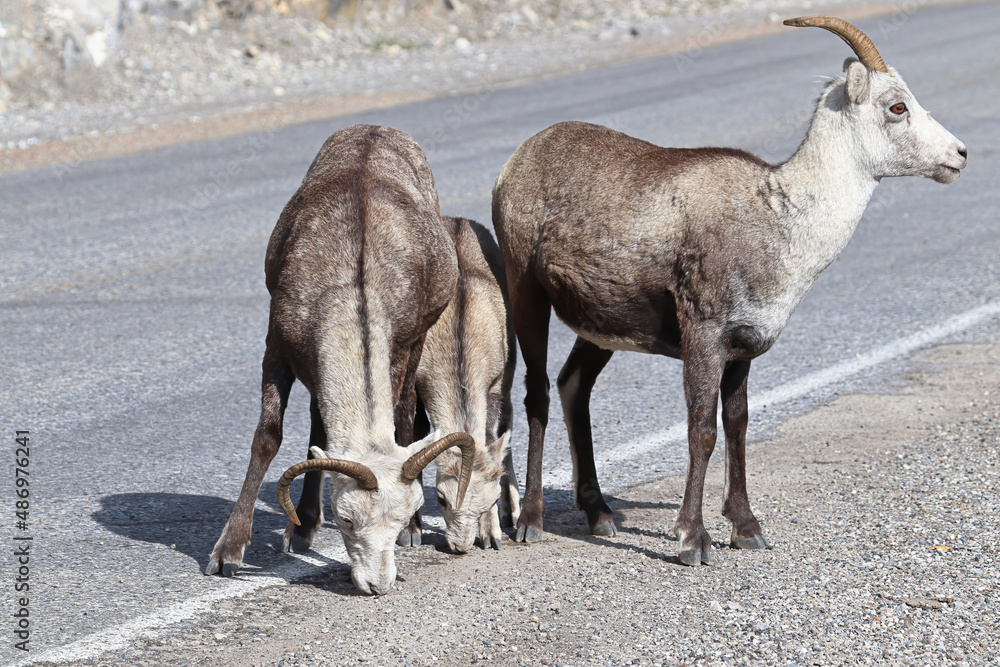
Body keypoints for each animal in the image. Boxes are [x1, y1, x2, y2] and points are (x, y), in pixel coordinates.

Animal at [205, 124, 476, 594]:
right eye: (347, 521)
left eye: (402, 515)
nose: (377, 585)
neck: (354, 282)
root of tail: (378, 128)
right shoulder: (277, 348)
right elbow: (268, 438)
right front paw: (228, 553)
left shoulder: (400, 347)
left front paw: (410, 532)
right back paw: (301, 527)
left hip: (419, 342)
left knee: (403, 411)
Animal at [491, 17, 967, 565]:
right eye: (897, 107)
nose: (959, 155)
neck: (780, 220)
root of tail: (515, 163)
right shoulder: (705, 337)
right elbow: (703, 430)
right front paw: (692, 541)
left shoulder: (743, 349)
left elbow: (737, 425)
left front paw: (747, 529)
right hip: (526, 292)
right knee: (537, 394)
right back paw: (529, 521)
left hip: (600, 329)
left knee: (574, 386)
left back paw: (601, 516)